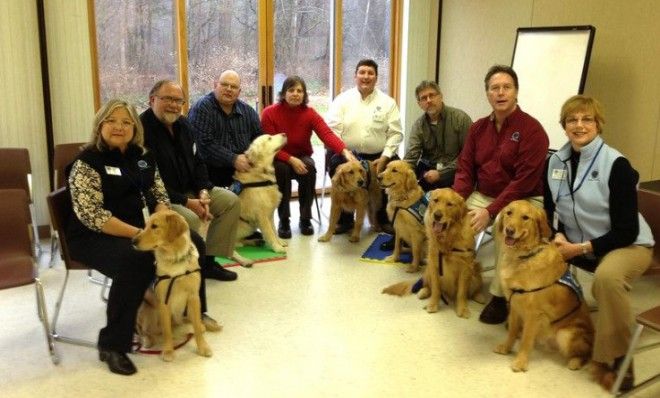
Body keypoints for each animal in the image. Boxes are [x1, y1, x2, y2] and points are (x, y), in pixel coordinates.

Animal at [133, 210, 214, 362]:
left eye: (154, 226)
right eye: (146, 225)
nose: (133, 241)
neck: (175, 259)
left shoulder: (193, 297)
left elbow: (197, 329)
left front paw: (203, 347)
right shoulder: (163, 302)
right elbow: (167, 331)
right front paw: (168, 351)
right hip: (147, 309)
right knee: (144, 331)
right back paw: (147, 340)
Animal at [382, 189, 484, 318]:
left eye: (450, 204)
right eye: (436, 200)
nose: (437, 215)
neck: (448, 238)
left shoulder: (465, 268)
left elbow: (462, 293)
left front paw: (462, 309)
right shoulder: (434, 266)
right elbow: (435, 289)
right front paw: (433, 305)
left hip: (476, 271)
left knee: (473, 289)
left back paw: (479, 296)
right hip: (428, 270)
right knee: (427, 285)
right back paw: (423, 292)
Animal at [492, 202, 596, 374]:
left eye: (525, 217)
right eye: (509, 213)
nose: (509, 230)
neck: (523, 257)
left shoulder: (533, 314)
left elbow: (526, 340)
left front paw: (520, 362)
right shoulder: (514, 306)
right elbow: (512, 331)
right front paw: (506, 348)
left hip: (565, 334)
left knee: (585, 355)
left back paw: (575, 362)